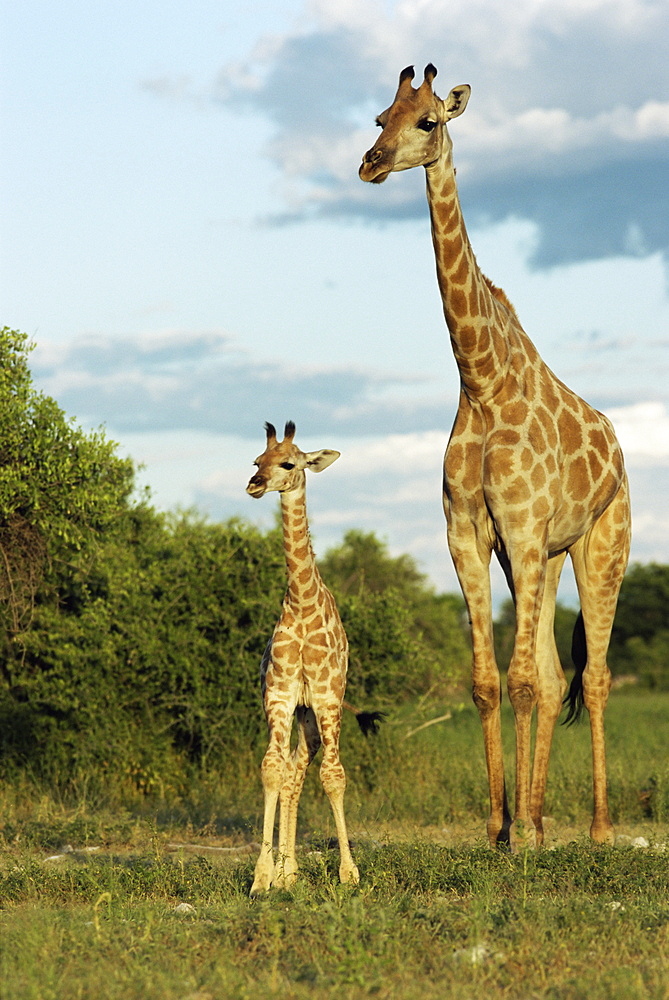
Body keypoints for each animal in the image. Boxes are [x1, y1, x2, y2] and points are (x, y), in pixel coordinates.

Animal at [358, 64, 628, 852]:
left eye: (428, 122)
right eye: (379, 117)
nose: (370, 163)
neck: (480, 380)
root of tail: (619, 451)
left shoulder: (523, 525)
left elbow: (522, 680)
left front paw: (519, 836)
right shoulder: (471, 533)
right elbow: (488, 681)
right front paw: (499, 826)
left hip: (600, 545)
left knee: (592, 675)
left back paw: (598, 829)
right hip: (539, 555)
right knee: (552, 669)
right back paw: (537, 819)